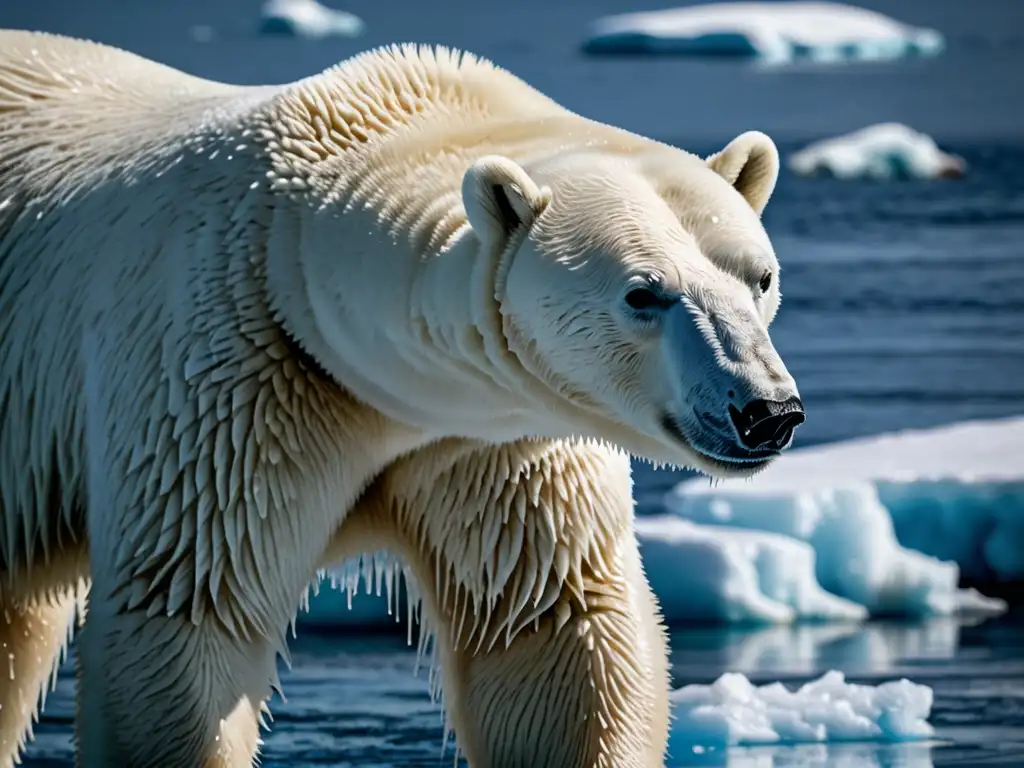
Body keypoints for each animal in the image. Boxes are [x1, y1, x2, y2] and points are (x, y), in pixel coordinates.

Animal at [0, 28, 798, 768]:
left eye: (760, 276)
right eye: (643, 293)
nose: (766, 412)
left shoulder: (490, 438)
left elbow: (550, 624)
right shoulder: (224, 381)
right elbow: (192, 608)